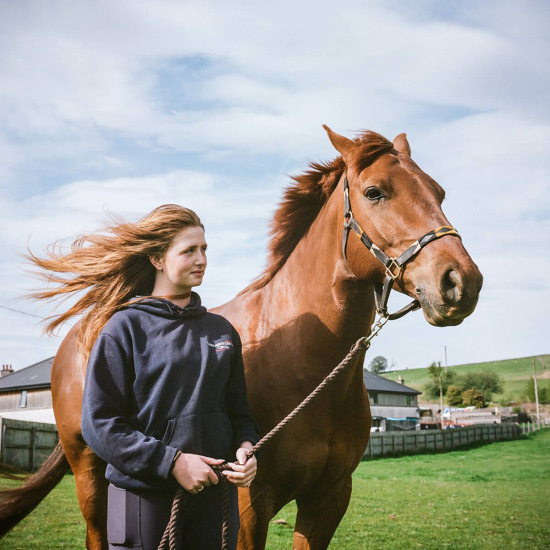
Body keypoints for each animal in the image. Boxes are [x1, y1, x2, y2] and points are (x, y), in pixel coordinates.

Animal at [0, 126, 482, 549]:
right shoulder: (250, 505)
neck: (304, 365)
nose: (462, 282)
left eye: (439, 192)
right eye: (375, 192)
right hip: (88, 473)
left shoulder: (328, 500)